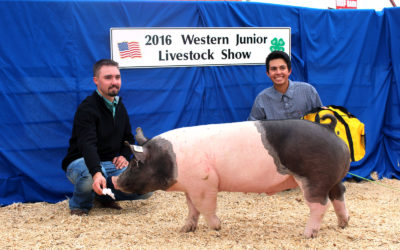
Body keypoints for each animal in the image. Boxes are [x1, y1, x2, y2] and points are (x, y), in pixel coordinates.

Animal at [111, 114, 350, 237]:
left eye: (136, 163)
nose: (115, 180)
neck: (171, 159)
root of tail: (329, 129)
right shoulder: (191, 187)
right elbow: (192, 209)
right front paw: (185, 230)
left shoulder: (205, 182)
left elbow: (206, 207)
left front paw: (217, 228)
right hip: (333, 178)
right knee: (339, 195)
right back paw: (343, 224)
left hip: (314, 178)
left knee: (320, 205)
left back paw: (307, 234)